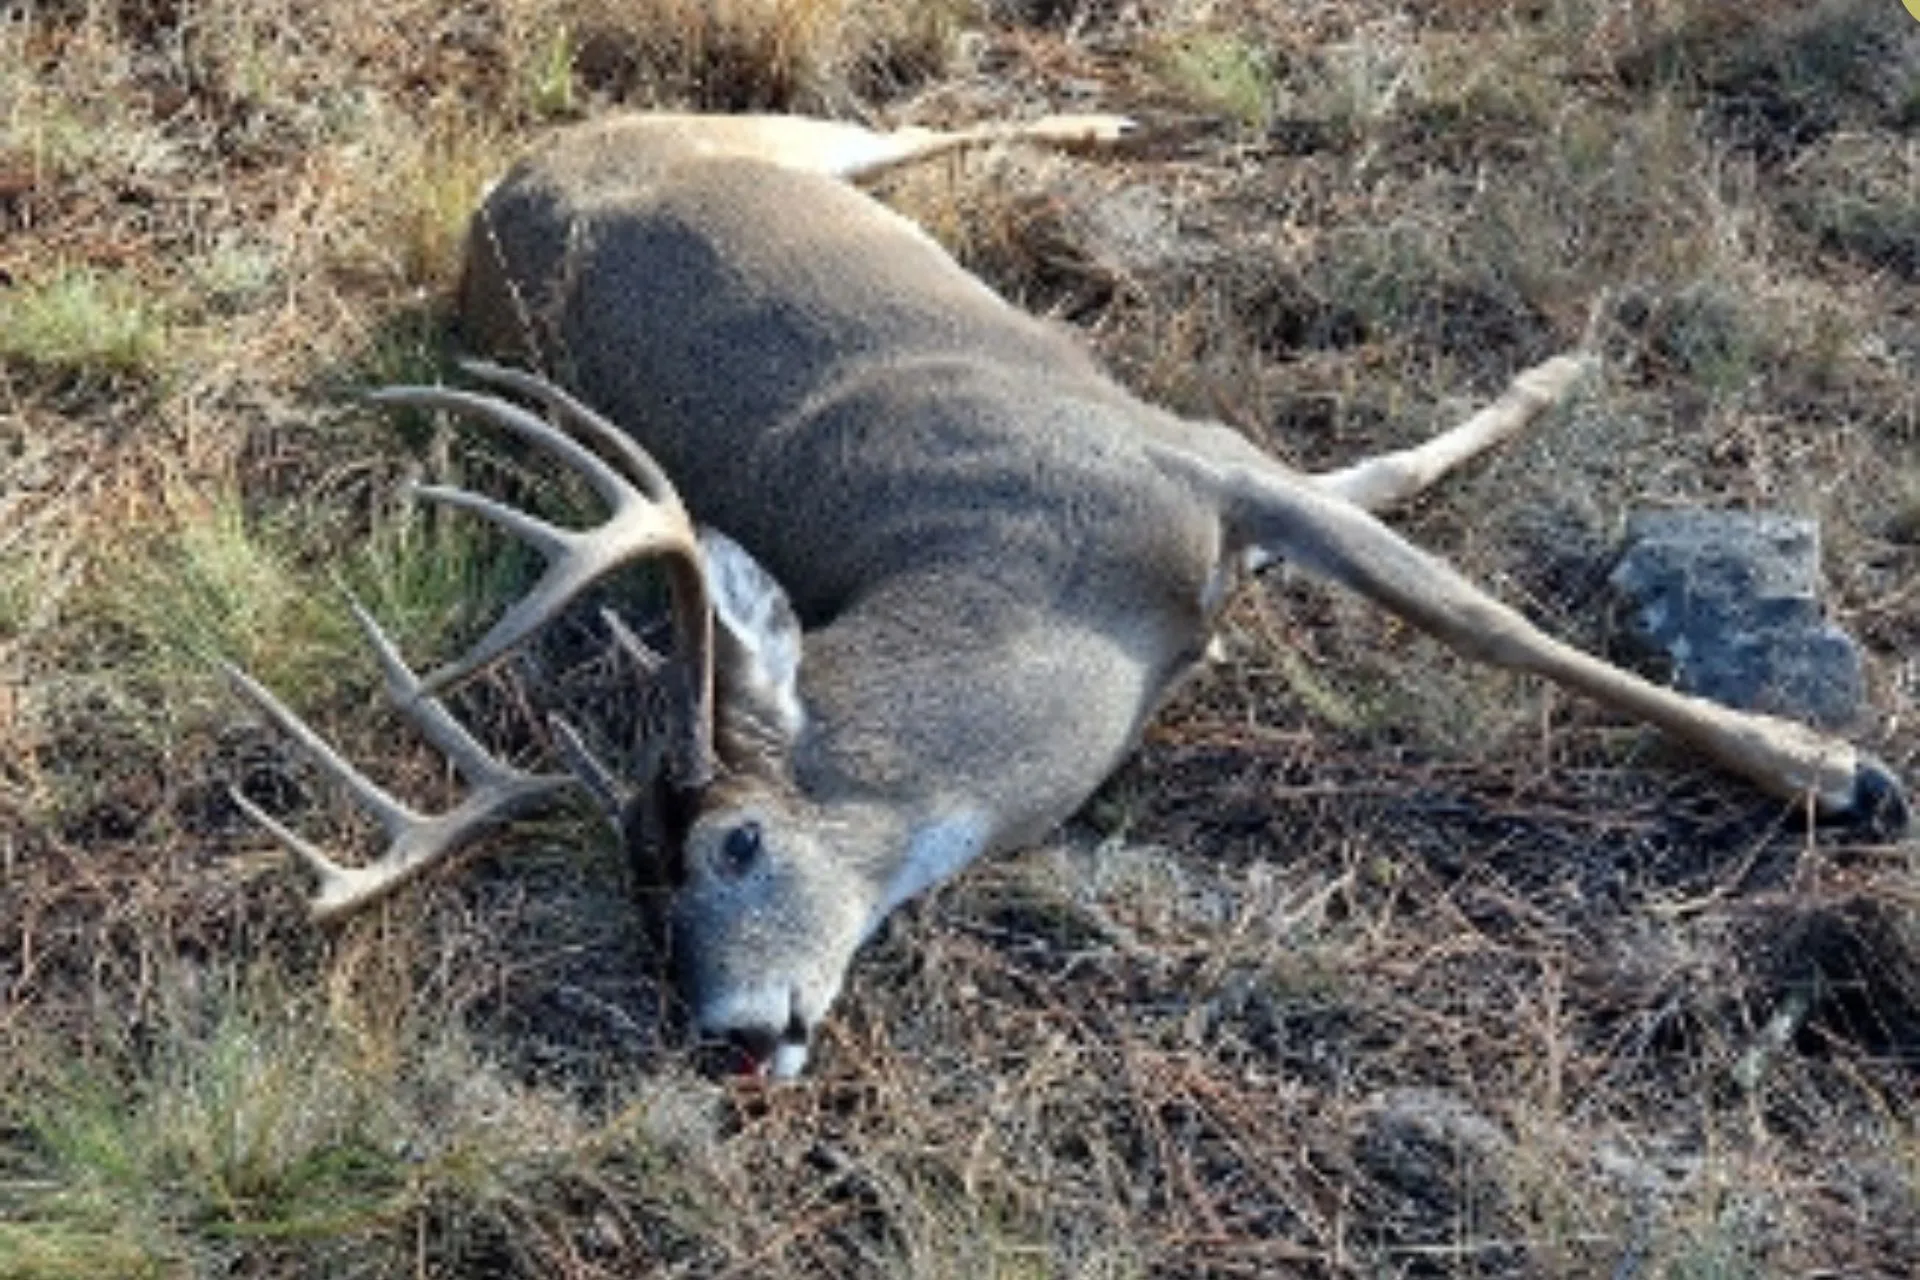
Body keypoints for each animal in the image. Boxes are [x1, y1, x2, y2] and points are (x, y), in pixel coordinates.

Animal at [227, 111, 1909, 1079]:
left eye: (734, 844)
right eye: (643, 909)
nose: (725, 1039)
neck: (1056, 604)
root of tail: (498, 188)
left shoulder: (1201, 463)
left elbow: (1475, 606)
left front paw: (1836, 771)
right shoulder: (1225, 493)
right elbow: (1394, 486)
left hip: (769, 131)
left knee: (919, 118)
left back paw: (1129, 122)